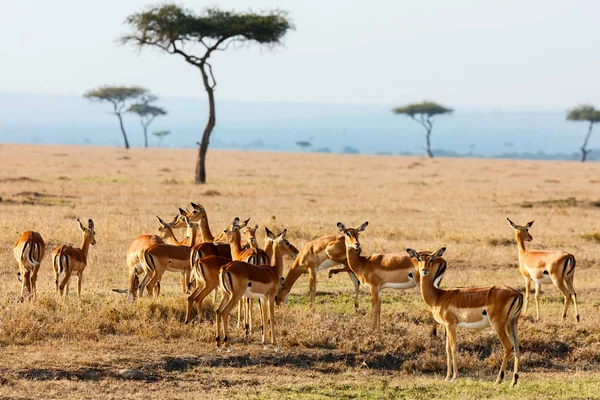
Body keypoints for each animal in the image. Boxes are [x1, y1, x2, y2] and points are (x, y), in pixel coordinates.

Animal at [408, 248, 520, 386]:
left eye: (431, 259)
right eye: (419, 258)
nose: (424, 270)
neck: (438, 296)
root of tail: (517, 293)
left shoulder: (451, 325)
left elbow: (453, 347)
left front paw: (454, 377)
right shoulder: (447, 326)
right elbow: (447, 349)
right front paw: (447, 377)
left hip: (498, 325)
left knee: (508, 347)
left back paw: (498, 380)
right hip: (512, 324)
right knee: (517, 346)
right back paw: (513, 381)